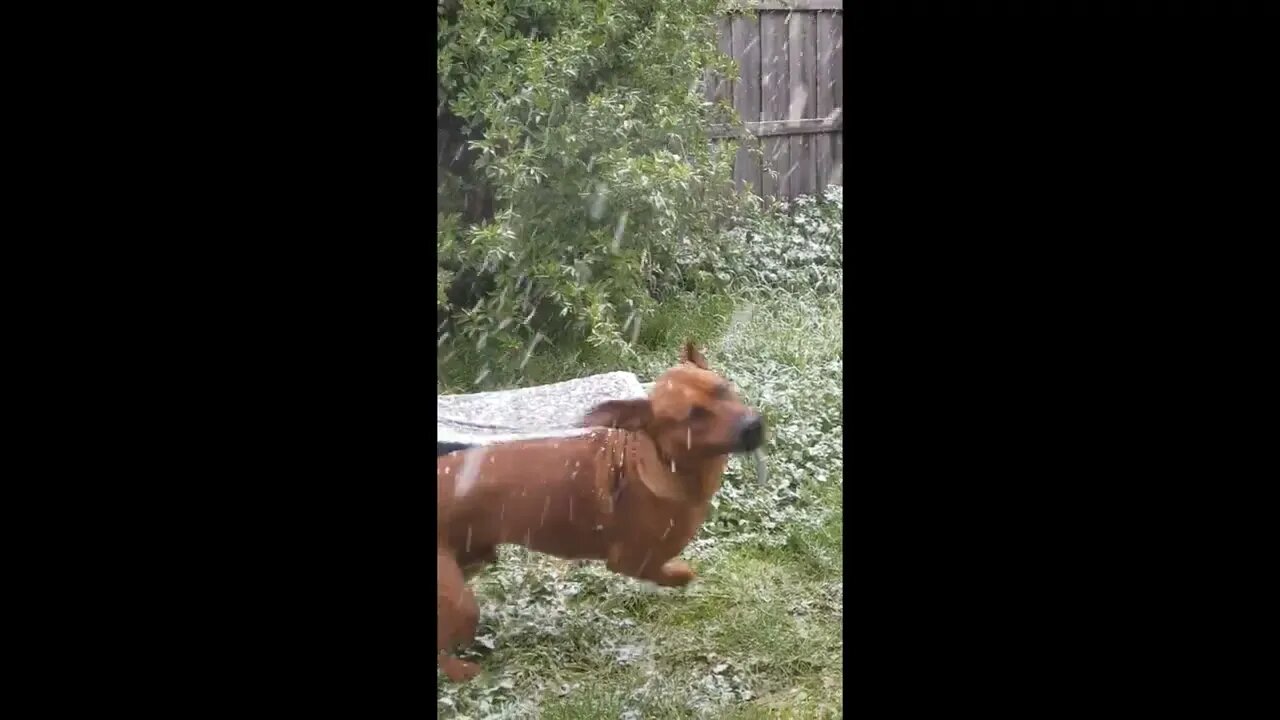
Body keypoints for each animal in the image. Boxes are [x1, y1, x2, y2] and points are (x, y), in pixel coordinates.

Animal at [435, 340, 762, 676]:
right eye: (694, 416)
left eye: (724, 389)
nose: (754, 426)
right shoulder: (629, 561)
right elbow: (673, 571)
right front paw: (682, 574)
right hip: (460, 602)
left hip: (471, 562)